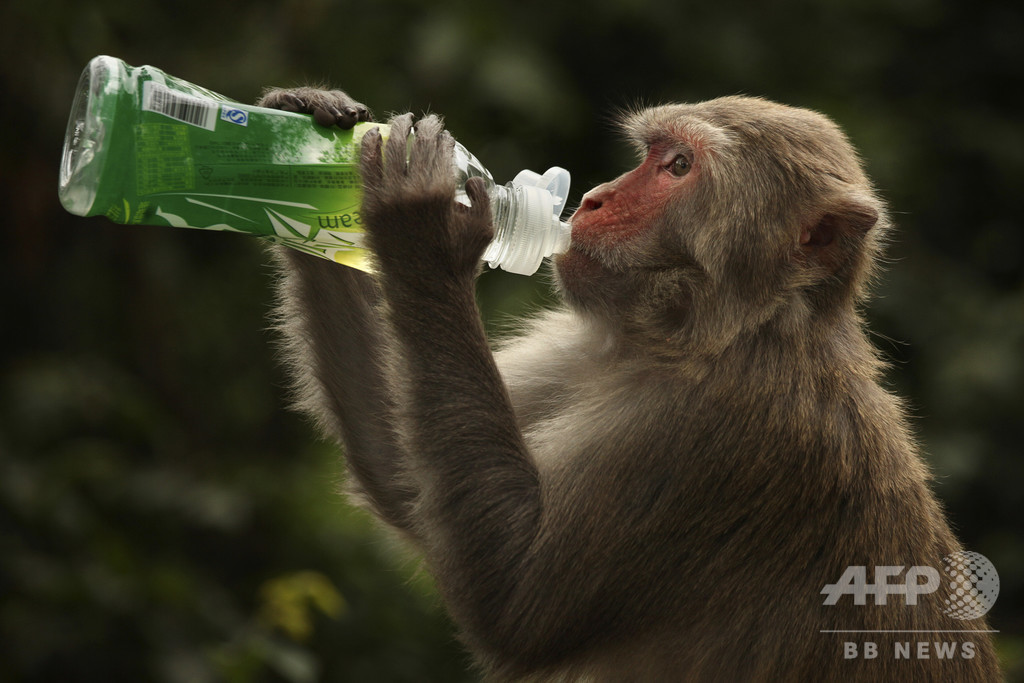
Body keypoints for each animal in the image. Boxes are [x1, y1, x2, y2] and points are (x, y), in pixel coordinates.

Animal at [260, 87, 1003, 683]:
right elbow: (403, 476)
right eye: (651, 154)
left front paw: (423, 225)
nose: (593, 199)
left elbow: (513, 602)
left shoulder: (721, 431)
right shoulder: (583, 342)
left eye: (679, 167)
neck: (717, 336)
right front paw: (304, 125)